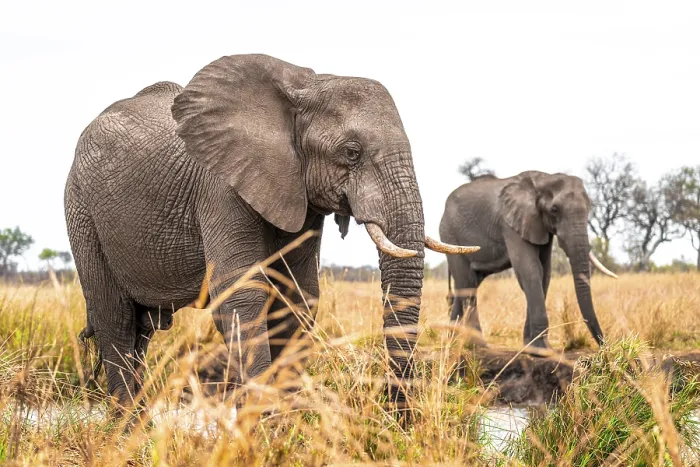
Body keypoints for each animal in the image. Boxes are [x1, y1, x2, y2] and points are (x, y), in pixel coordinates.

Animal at [64, 54, 476, 411]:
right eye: (352, 152)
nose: (397, 416)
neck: (305, 88)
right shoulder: (220, 187)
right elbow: (243, 296)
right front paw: (262, 423)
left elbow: (298, 297)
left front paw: (285, 423)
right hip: (81, 211)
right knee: (115, 319)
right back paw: (127, 429)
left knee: (141, 329)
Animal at [438, 170, 617, 356]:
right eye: (554, 210)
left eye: (589, 208)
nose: (605, 348)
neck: (543, 179)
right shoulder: (511, 225)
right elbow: (530, 270)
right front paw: (542, 351)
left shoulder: (540, 226)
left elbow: (545, 272)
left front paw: (530, 347)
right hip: (450, 234)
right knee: (467, 284)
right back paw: (478, 346)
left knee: (467, 284)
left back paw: (452, 340)